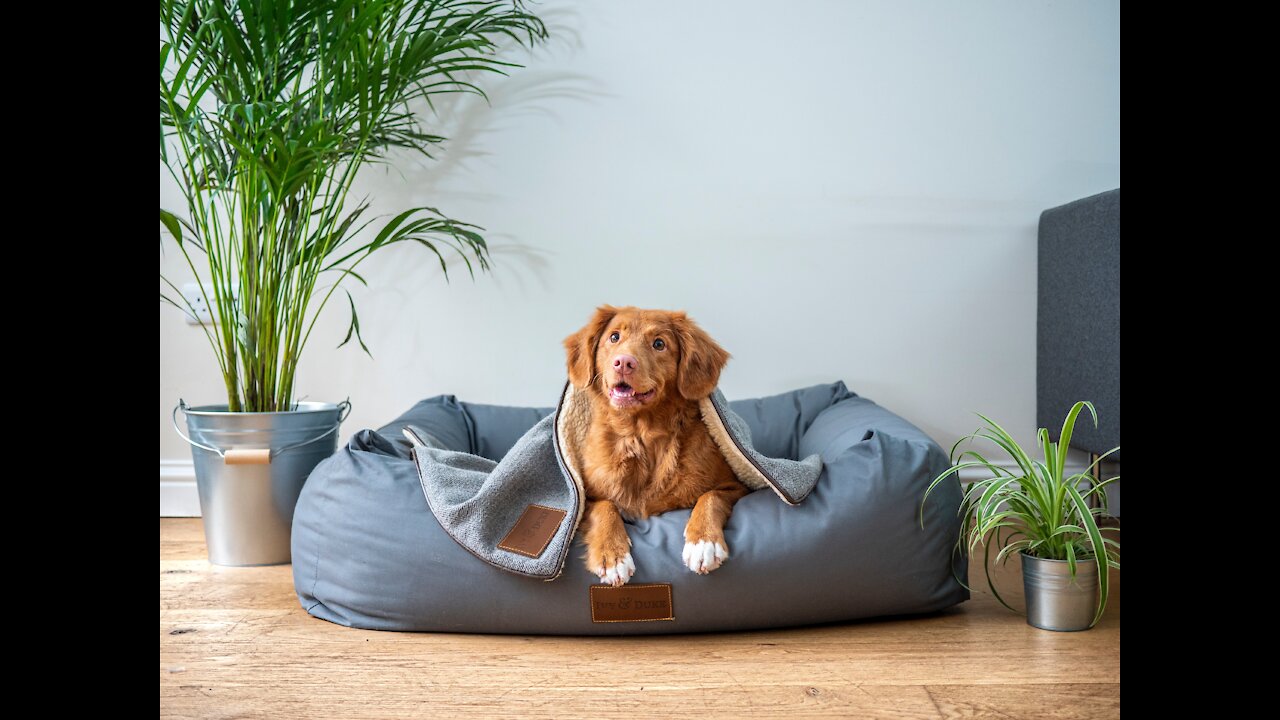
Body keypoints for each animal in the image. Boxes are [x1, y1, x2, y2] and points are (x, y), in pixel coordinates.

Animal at [563, 302, 747, 584]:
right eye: (614, 337)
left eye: (659, 344)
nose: (623, 362)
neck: (641, 436)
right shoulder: (585, 498)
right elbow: (605, 507)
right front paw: (613, 555)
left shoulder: (736, 486)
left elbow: (711, 496)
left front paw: (703, 542)